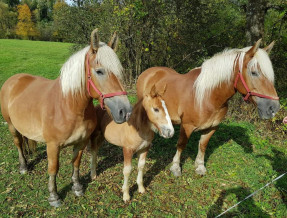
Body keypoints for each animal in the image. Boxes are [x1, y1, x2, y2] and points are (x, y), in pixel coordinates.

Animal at [0, 28, 133, 206]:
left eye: (120, 72)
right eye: (99, 71)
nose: (125, 111)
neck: (68, 106)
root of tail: (14, 80)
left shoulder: (81, 142)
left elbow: (76, 163)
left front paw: (77, 187)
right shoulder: (52, 146)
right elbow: (53, 168)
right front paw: (54, 196)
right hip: (11, 126)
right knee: (18, 143)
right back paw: (23, 167)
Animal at [137, 40, 282, 178]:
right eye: (254, 72)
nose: (273, 108)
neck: (207, 97)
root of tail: (149, 71)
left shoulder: (211, 127)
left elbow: (203, 145)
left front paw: (200, 167)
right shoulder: (187, 126)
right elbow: (181, 144)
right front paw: (176, 168)